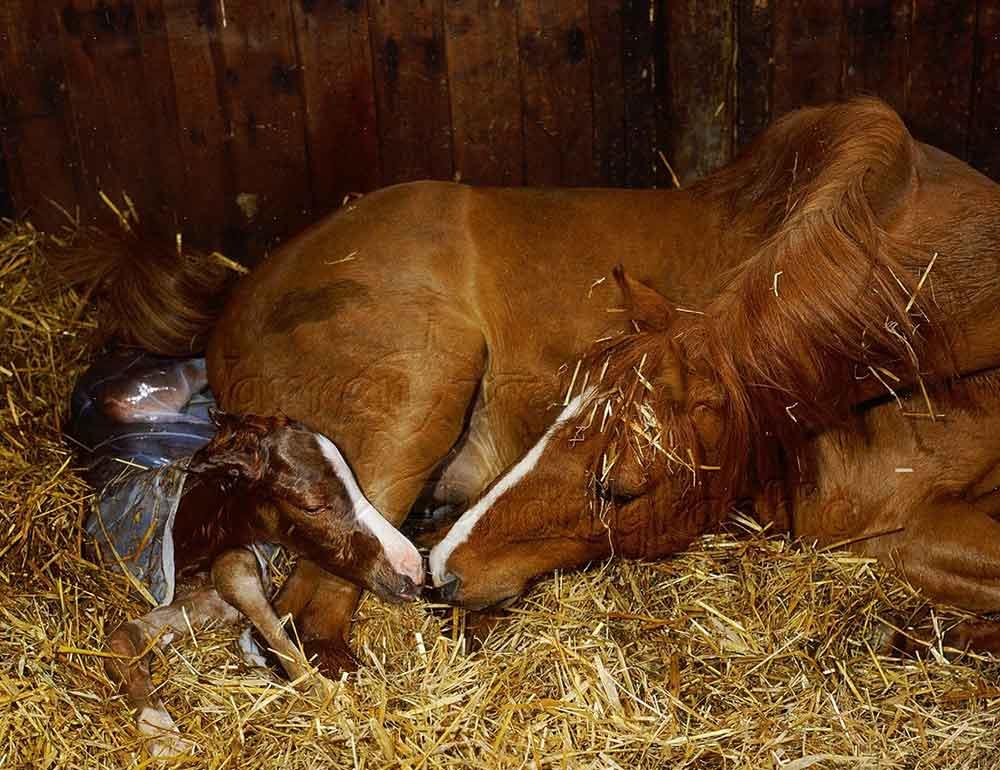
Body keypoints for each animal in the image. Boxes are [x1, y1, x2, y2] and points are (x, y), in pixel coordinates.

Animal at [70, 97, 1000, 672]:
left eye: (621, 487)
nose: (447, 574)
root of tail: (228, 306)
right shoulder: (882, 526)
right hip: (416, 401)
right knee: (306, 619)